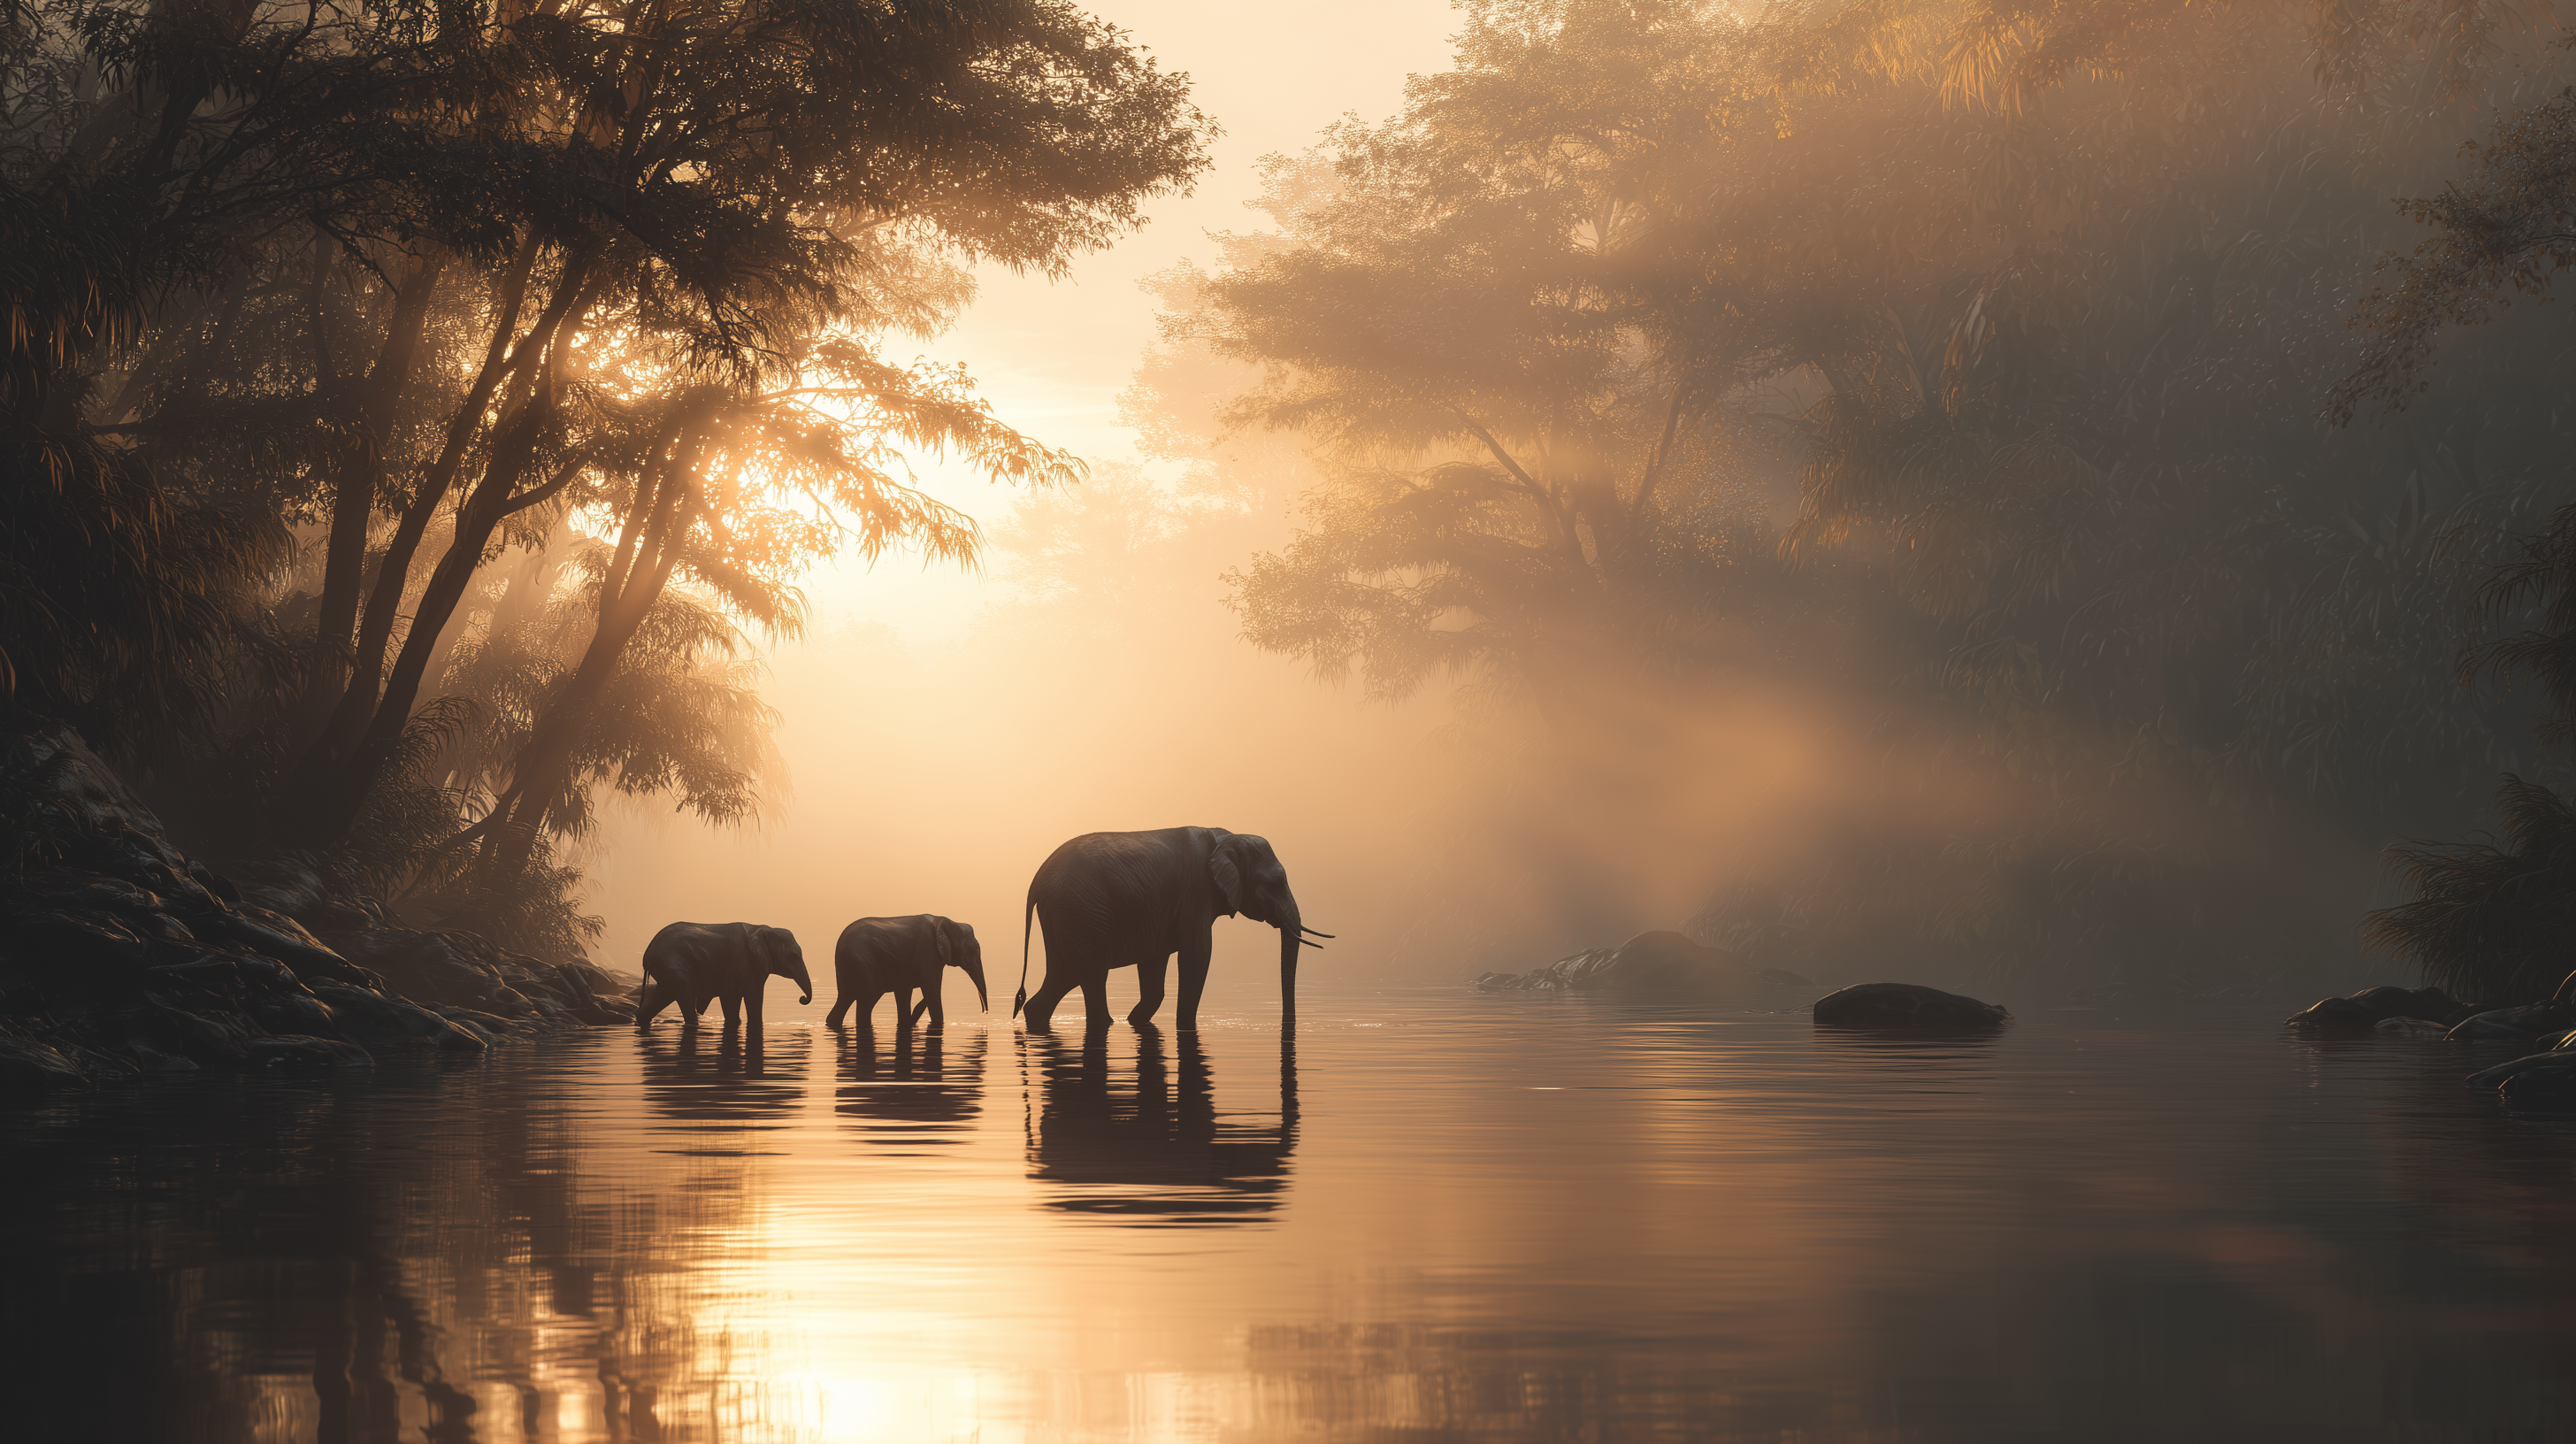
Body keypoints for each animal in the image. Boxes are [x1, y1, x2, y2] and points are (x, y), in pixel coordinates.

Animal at [634, 921, 812, 1032]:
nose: (802, 999)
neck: (763, 928)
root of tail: (647, 956)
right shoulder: (746, 963)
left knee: (663, 996)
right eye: (794, 955)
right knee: (686, 997)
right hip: (674, 966)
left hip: (668, 969)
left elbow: (731, 1001)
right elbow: (751, 998)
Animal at [823, 914, 989, 1031]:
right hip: (862, 965)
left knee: (845, 999)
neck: (947, 921)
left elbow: (904, 993)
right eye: (973, 951)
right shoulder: (929, 953)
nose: (985, 1012)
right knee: (867, 1002)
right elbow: (931, 990)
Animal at [1012, 826, 1328, 1031]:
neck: (1226, 837)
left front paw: (1136, 1021)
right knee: (1091, 975)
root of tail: (1036, 881)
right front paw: (1184, 1027)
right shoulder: (1196, 895)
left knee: (1064, 974)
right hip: (1082, 911)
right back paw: (1105, 1023)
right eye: (1275, 883)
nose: (1288, 1024)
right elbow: (1197, 957)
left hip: (1067, 916)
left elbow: (1154, 965)